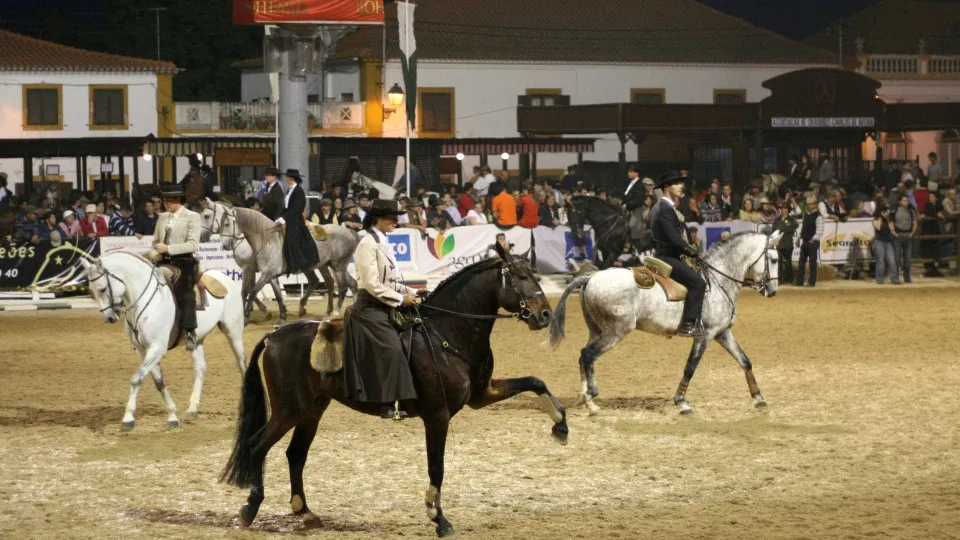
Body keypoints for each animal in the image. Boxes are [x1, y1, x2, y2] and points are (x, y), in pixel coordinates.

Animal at [78, 251, 246, 432]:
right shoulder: (142, 350)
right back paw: (192, 409)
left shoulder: (157, 348)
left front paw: (128, 418)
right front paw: (172, 416)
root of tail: (225, 278)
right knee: (200, 369)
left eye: (102, 288)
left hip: (233, 332)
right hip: (197, 341)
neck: (144, 302)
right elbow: (158, 382)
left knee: (241, 363)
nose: (109, 318)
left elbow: (137, 378)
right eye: (91, 292)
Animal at [223, 244, 568, 536]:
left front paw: (561, 426)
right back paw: (249, 509)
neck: (445, 333)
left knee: (295, 454)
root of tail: (275, 335)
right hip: (288, 410)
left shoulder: (483, 396)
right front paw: (438, 518)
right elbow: (437, 467)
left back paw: (304, 511)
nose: (545, 315)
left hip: (312, 409)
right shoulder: (438, 415)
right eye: (521, 276)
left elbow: (535, 382)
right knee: (256, 446)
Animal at [548, 231, 780, 414]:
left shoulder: (722, 333)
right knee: (588, 355)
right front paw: (681, 402)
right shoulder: (705, 336)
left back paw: (586, 398)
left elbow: (745, 361)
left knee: (583, 356)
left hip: (598, 331)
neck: (718, 281)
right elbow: (690, 367)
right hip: (615, 332)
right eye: (774, 259)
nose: (772, 291)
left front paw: (759, 398)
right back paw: (591, 400)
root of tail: (591, 277)